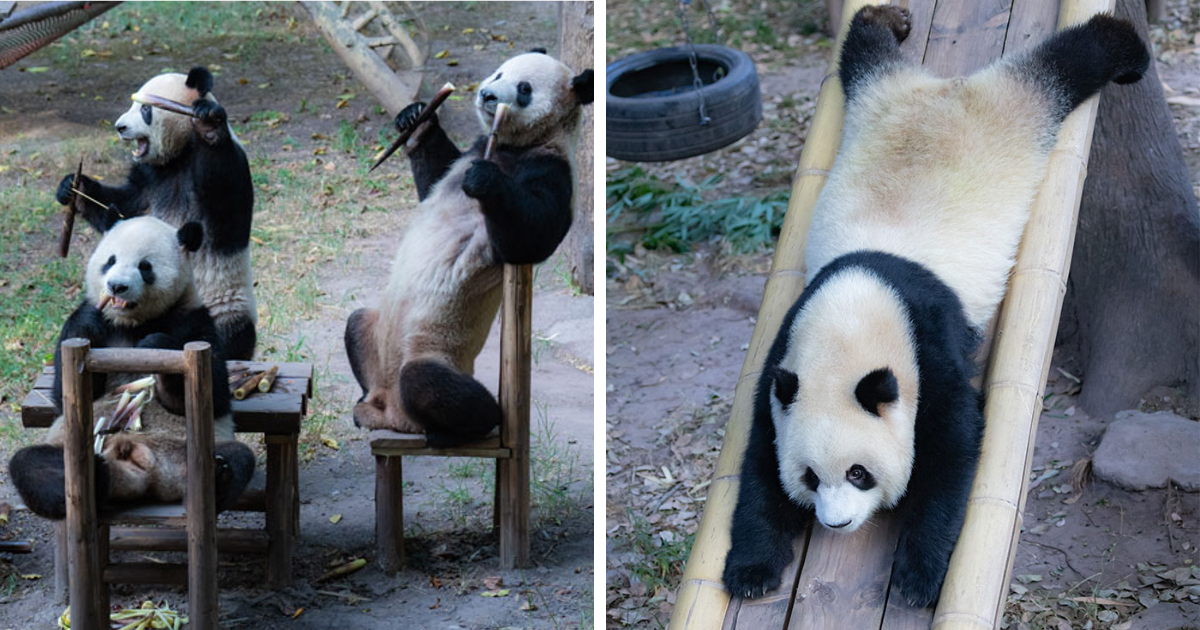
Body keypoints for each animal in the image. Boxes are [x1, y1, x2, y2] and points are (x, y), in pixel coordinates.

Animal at [8, 216, 255, 519]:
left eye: (145, 266)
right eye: (110, 261)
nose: (116, 286)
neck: (132, 323)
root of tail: (144, 467)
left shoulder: (192, 319)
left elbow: (214, 393)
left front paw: (155, 345)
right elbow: (66, 395)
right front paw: (90, 319)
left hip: (194, 448)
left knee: (239, 457)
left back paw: (219, 476)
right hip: (71, 444)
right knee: (31, 464)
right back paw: (94, 477)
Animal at [55, 66, 257, 360]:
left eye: (145, 109)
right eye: (133, 104)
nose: (120, 127)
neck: (177, 154)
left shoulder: (226, 166)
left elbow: (224, 188)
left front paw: (208, 125)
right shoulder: (147, 176)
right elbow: (124, 207)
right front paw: (74, 187)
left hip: (225, 306)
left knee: (228, 336)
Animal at [344, 50, 593, 445]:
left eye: (524, 89)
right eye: (500, 73)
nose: (488, 95)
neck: (512, 144)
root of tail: (399, 418)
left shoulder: (550, 169)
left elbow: (530, 240)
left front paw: (485, 180)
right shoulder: (470, 151)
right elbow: (435, 175)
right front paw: (414, 118)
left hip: (436, 351)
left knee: (429, 384)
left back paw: (465, 428)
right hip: (375, 337)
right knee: (356, 324)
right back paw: (365, 406)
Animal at [722, 6, 1149, 608]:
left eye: (859, 474)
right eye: (810, 477)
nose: (835, 523)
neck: (853, 309)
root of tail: (945, 88)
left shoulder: (927, 335)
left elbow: (954, 444)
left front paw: (919, 577)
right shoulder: (786, 356)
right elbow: (761, 455)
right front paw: (753, 569)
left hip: (1015, 109)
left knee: (1067, 65)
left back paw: (1122, 48)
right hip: (875, 95)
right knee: (863, 52)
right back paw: (886, 20)